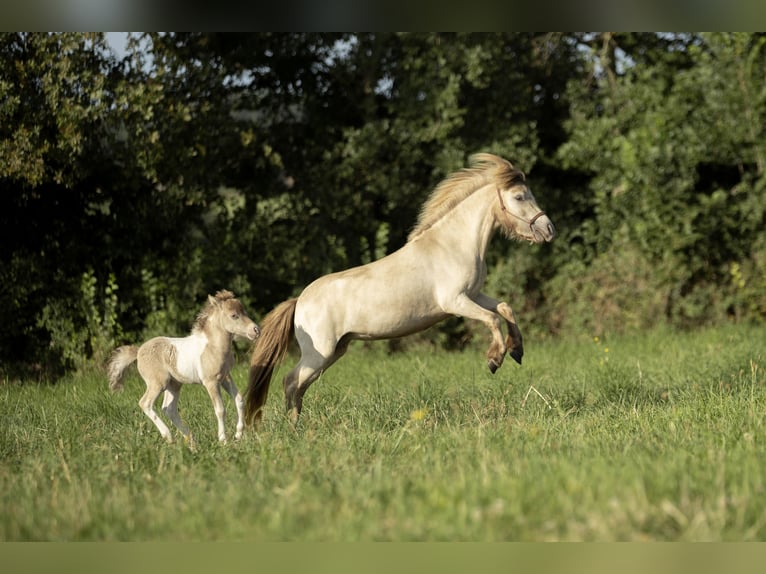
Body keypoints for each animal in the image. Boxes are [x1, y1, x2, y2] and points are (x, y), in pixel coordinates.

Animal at [106, 292, 260, 446]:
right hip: (158, 383)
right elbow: (220, 409)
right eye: (234, 315)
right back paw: (169, 436)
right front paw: (223, 440)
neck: (213, 347)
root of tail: (138, 351)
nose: (256, 330)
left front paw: (238, 434)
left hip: (174, 384)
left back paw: (190, 439)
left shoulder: (225, 377)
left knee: (169, 409)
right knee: (145, 403)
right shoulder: (211, 382)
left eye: (244, 312)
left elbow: (239, 399)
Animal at [249, 153, 556, 428]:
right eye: (520, 197)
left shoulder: (474, 295)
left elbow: (504, 307)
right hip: (320, 353)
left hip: (335, 351)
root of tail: (300, 301)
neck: (452, 245)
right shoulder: (455, 302)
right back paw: (292, 429)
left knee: (299, 385)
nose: (548, 229)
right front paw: (494, 359)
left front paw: (517, 351)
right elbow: (492, 318)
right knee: (291, 382)